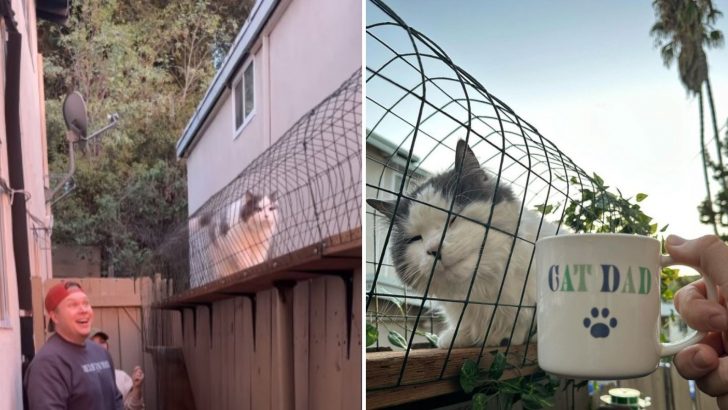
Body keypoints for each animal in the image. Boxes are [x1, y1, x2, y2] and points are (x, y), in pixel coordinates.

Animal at [366, 141, 560, 350]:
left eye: (453, 219)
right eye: (416, 238)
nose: (434, 249)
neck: (481, 290)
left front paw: (509, 336)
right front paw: (456, 337)